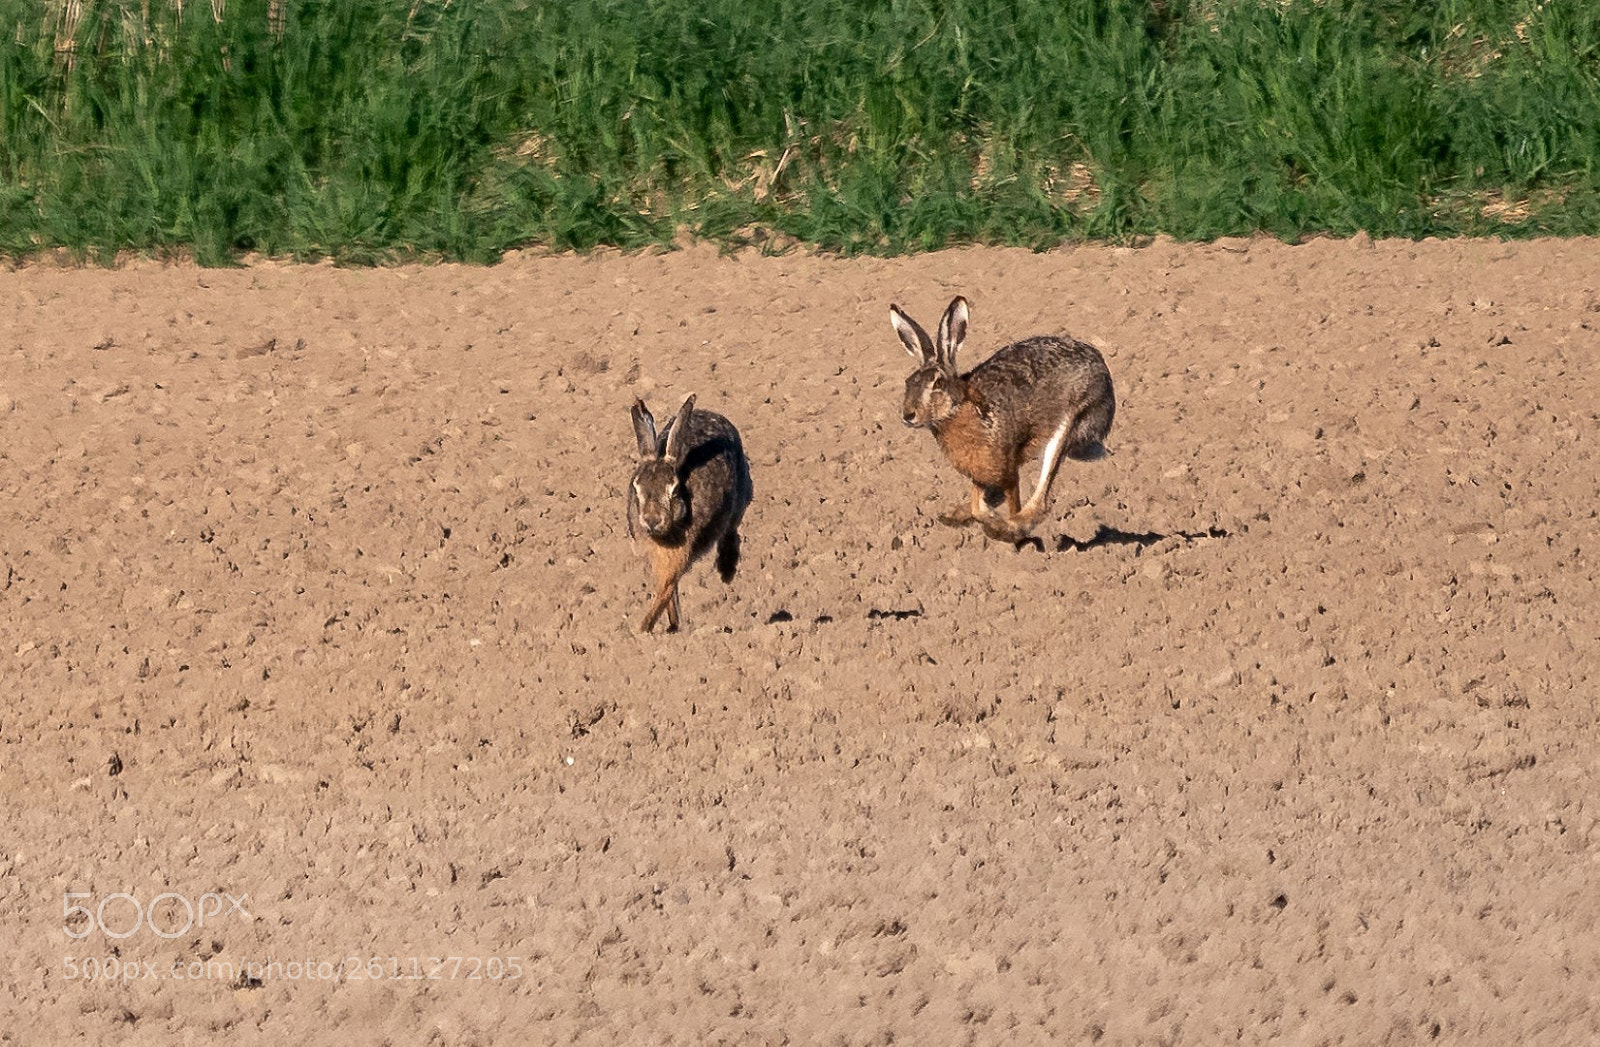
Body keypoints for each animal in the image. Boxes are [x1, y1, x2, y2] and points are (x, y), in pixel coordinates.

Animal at [626, 394, 753, 633]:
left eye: (674, 490)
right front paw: (669, 625)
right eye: (635, 487)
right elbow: (668, 588)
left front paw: (643, 628)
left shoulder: (682, 553)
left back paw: (727, 570)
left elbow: (667, 586)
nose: (652, 520)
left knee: (731, 530)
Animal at [889, 295, 1114, 542]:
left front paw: (1000, 526)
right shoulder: (978, 473)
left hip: (1069, 421)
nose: (908, 415)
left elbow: (1009, 501)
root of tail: (1102, 367)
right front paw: (980, 514)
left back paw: (1009, 528)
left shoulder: (1008, 470)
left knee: (1042, 501)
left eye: (937, 383)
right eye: (908, 382)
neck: (959, 410)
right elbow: (977, 504)